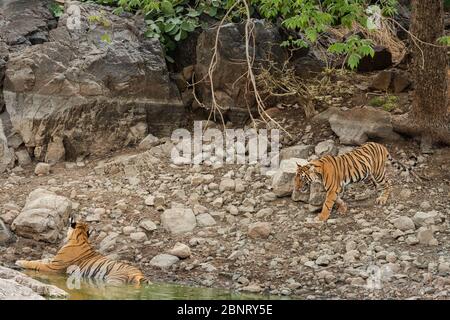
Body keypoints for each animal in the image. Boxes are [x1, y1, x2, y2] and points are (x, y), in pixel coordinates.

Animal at [15, 218, 149, 284]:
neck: (81, 237)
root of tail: (140, 275)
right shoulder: (53, 262)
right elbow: (41, 260)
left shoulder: (53, 267)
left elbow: (36, 264)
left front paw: (20, 261)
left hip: (113, 279)